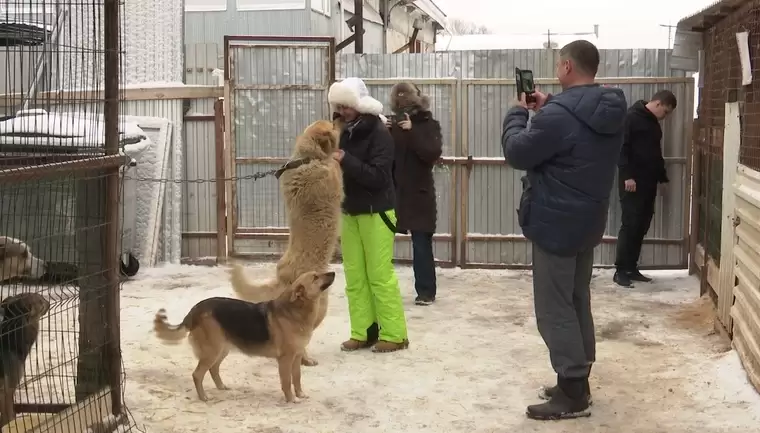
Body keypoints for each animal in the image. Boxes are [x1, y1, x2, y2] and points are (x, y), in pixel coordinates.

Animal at [153, 270, 336, 402]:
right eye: (315, 277)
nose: (333, 272)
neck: (295, 311)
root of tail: (195, 310)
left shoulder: (296, 357)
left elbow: (296, 378)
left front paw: (300, 394)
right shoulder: (285, 359)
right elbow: (286, 382)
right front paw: (291, 399)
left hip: (221, 350)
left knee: (213, 369)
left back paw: (221, 386)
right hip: (212, 350)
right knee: (197, 374)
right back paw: (204, 397)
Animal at [227, 119, 342, 368]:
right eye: (331, 125)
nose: (339, 117)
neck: (307, 158)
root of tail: (282, 278)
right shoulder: (332, 176)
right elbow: (335, 165)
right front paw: (337, 156)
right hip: (319, 305)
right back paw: (306, 359)